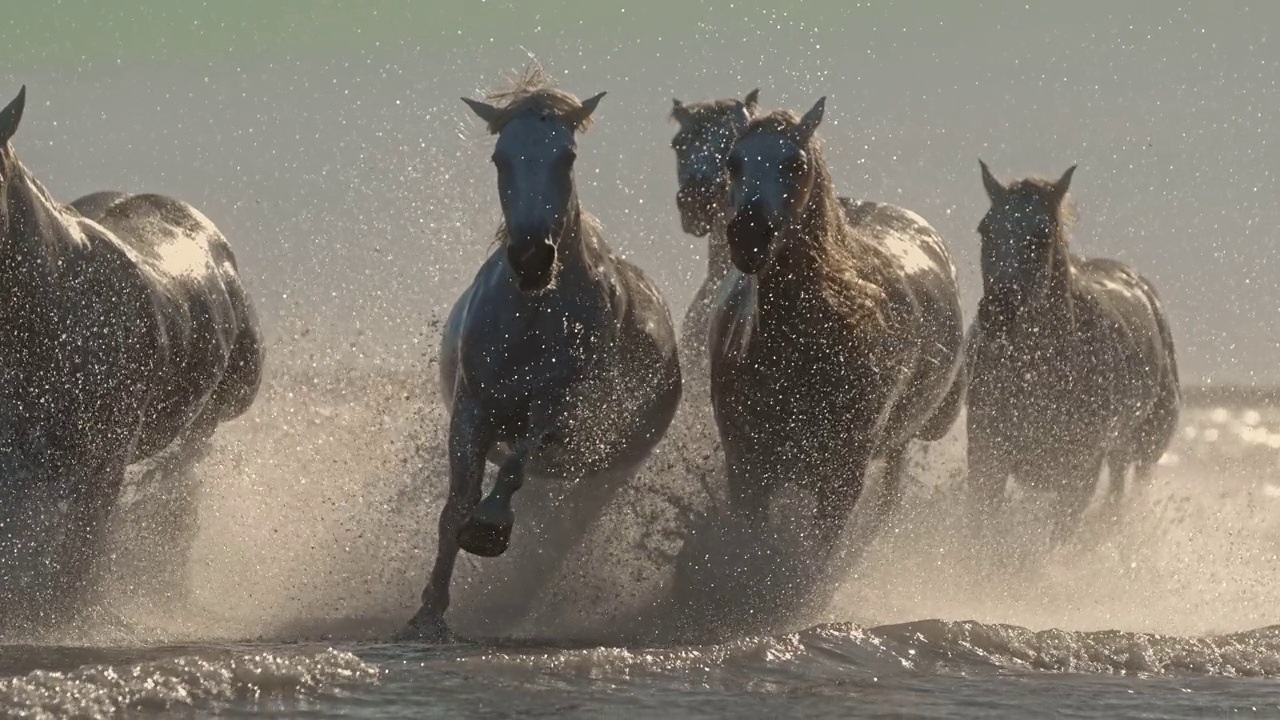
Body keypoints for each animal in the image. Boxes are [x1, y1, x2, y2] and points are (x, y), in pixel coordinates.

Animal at [401, 68, 686, 638]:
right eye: (500, 158)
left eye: (567, 156)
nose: (532, 258)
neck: (533, 319)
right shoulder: (471, 410)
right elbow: (454, 507)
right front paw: (428, 614)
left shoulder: (563, 411)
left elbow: (514, 466)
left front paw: (489, 528)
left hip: (604, 474)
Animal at [680, 99, 962, 627]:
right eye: (735, 162)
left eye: (795, 164)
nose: (748, 235)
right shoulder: (747, 465)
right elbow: (751, 543)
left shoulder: (842, 475)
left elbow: (814, 558)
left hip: (899, 444)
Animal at [967, 161, 1177, 543]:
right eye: (985, 229)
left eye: (1041, 234)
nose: (996, 311)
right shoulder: (987, 458)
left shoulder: (1080, 473)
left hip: (1146, 446)